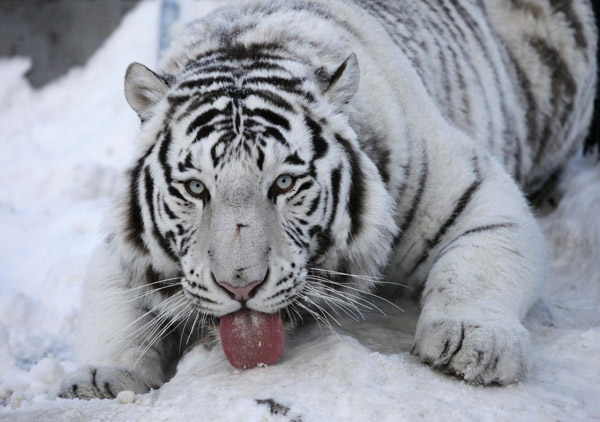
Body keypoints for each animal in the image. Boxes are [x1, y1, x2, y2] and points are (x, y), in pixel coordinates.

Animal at [58, 0, 596, 398]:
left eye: (283, 184)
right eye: (195, 188)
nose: (239, 286)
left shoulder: (476, 192)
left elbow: (477, 268)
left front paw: (472, 345)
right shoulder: (121, 246)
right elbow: (111, 309)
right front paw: (101, 379)